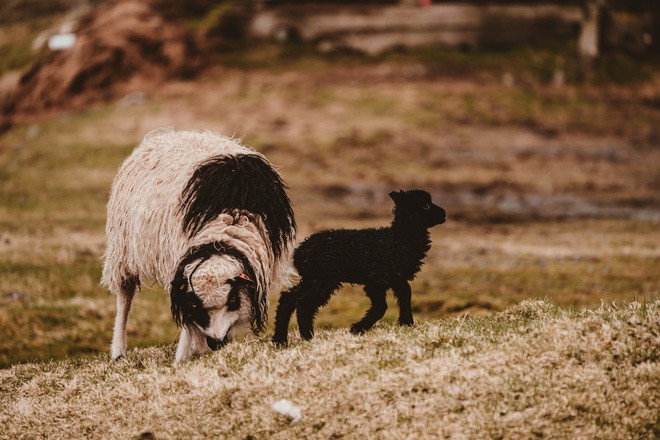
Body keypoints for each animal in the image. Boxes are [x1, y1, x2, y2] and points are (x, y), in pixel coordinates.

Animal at [101, 130, 296, 360]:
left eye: (233, 301)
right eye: (197, 305)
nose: (216, 342)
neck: (230, 221)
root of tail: (170, 134)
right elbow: (189, 321)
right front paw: (183, 357)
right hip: (122, 250)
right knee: (125, 297)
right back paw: (118, 350)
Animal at [270, 188, 446, 344]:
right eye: (425, 205)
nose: (444, 214)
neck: (397, 239)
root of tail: (299, 252)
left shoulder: (395, 277)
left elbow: (405, 294)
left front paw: (406, 322)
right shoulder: (377, 280)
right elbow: (381, 306)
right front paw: (357, 328)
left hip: (315, 279)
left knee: (295, 301)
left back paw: (293, 338)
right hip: (321, 279)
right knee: (299, 302)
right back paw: (291, 338)